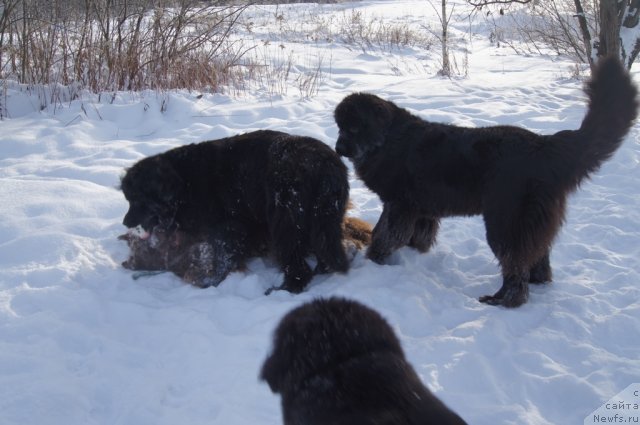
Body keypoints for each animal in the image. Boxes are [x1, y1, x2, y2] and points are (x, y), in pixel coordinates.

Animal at [120, 129, 350, 294]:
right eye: (128, 199)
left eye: (138, 200)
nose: (125, 222)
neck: (184, 183)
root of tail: (324, 164)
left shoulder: (227, 227)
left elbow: (223, 255)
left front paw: (211, 280)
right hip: (327, 218)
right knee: (326, 246)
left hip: (286, 221)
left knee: (295, 260)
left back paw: (286, 287)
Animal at [332, 57, 636, 308]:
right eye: (339, 127)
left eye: (354, 127)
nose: (338, 148)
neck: (385, 140)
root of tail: (543, 145)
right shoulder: (421, 209)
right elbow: (417, 236)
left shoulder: (399, 205)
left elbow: (384, 233)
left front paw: (375, 259)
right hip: (529, 221)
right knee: (537, 256)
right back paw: (537, 283)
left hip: (506, 222)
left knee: (515, 265)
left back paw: (503, 301)